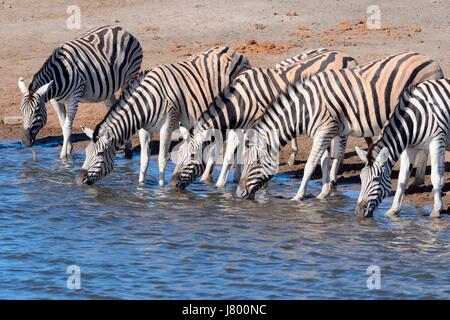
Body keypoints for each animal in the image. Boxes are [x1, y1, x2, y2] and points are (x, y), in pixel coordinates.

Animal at [18, 24, 142, 159]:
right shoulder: (55, 101)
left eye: (36, 111)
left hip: (129, 77)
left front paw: (63, 156)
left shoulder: (74, 96)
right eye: (21, 111)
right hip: (108, 87)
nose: (25, 141)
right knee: (113, 106)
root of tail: (122, 30)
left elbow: (67, 126)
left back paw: (129, 149)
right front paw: (69, 149)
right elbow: (63, 124)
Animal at [75, 47, 248, 188]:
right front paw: (141, 186)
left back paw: (231, 178)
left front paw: (160, 189)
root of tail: (236, 53)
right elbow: (144, 160)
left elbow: (162, 159)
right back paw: (213, 177)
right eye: (86, 153)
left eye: (100, 154)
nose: (79, 180)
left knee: (237, 141)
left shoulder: (167, 125)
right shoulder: (144, 128)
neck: (146, 103)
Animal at [170, 48, 358, 189]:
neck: (241, 100)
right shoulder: (240, 126)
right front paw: (223, 184)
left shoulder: (258, 124)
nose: (172, 185)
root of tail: (347, 56)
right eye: (178, 154)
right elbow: (231, 153)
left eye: (192, 156)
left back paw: (333, 176)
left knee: (341, 143)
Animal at [356, 78, 450, 218]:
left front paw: (436, 210)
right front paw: (393, 210)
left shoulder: (436, 141)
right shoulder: (409, 148)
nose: (358, 212)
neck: (414, 119)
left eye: (376, 179)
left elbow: (435, 176)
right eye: (361, 178)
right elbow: (402, 178)